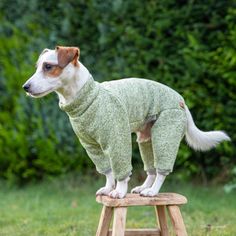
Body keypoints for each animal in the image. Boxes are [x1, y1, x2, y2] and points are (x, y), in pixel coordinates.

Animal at [22, 45, 230, 197]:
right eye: (37, 67)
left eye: (48, 67)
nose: (25, 87)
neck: (87, 98)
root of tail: (181, 100)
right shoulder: (91, 146)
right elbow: (107, 171)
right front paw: (108, 188)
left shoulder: (117, 140)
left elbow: (121, 172)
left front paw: (119, 192)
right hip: (146, 139)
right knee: (151, 169)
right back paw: (143, 187)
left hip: (164, 135)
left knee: (161, 171)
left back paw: (152, 191)